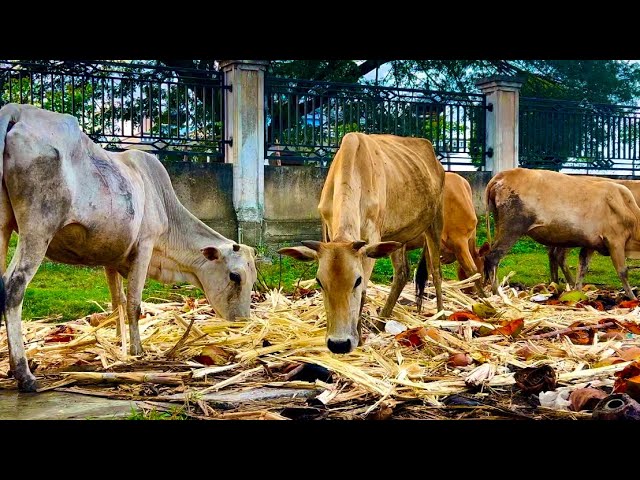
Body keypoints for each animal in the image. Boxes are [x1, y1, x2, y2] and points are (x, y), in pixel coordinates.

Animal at [0, 103, 258, 392]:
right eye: (235, 276)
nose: (242, 321)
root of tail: (16, 111)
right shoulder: (145, 246)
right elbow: (134, 301)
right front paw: (137, 350)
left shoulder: (110, 257)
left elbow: (117, 301)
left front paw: (117, 342)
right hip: (38, 229)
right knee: (14, 286)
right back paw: (24, 374)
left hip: (3, 226)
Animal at [280, 133, 444, 354]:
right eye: (319, 282)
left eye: (356, 280)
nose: (338, 344)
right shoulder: (327, 228)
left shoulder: (372, 238)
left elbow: (365, 291)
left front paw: (359, 339)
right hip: (398, 236)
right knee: (402, 272)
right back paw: (381, 322)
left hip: (435, 220)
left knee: (436, 270)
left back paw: (442, 315)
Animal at [482, 167, 640, 298]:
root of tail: (503, 175)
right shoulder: (615, 240)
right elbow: (623, 271)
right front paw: (632, 297)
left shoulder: (591, 244)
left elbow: (582, 268)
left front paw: (578, 293)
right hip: (512, 229)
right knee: (492, 257)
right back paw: (497, 294)